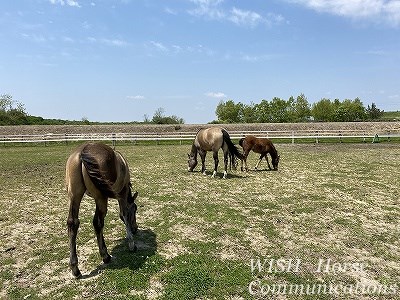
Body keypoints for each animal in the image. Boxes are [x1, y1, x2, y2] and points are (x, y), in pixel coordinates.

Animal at [66, 142, 139, 278]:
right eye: (135, 209)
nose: (135, 229)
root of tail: (83, 152)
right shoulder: (122, 192)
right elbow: (124, 214)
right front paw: (131, 244)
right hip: (101, 198)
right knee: (98, 222)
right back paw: (105, 256)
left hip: (75, 196)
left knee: (73, 223)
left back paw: (75, 268)